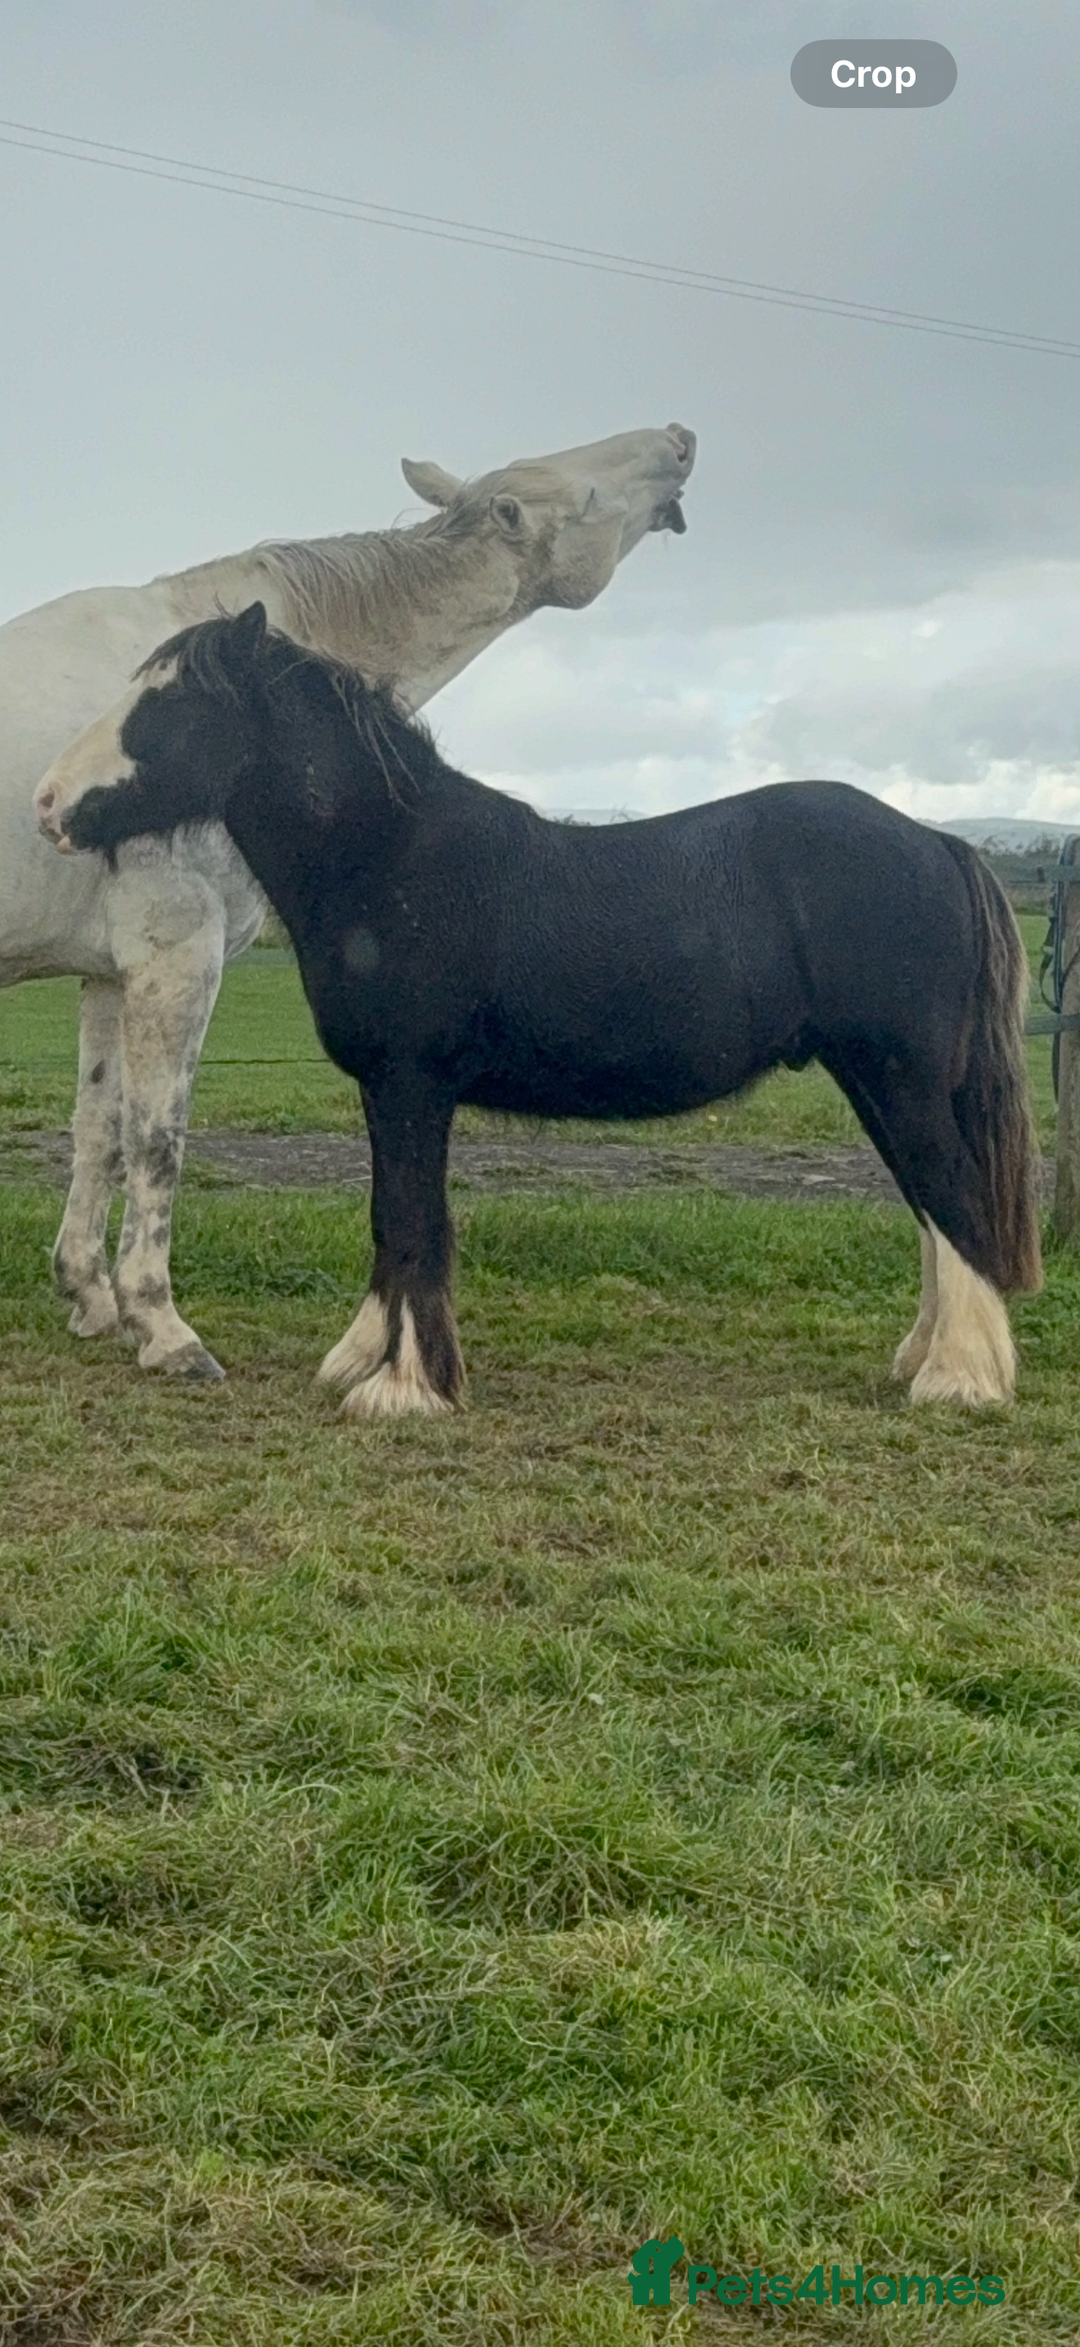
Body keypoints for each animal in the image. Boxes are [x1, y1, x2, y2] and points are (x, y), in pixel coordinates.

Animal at [3, 424, 695, 1381]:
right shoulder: (178, 956)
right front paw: (164, 1326)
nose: (678, 441)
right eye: (581, 492)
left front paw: (92, 1298)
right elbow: (159, 1138)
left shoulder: (110, 974)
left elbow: (99, 1131)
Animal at [36, 602, 1042, 1416]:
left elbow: (417, 1223)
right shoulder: (383, 1091)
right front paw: (361, 1358)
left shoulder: (413, 1085)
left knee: (953, 1200)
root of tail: (939, 842)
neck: (391, 857)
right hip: (879, 1080)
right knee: (930, 1207)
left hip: (898, 1076)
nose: (47, 803)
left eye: (169, 705)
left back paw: (961, 1380)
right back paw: (923, 1360)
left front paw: (407, 1390)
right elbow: (387, 1218)